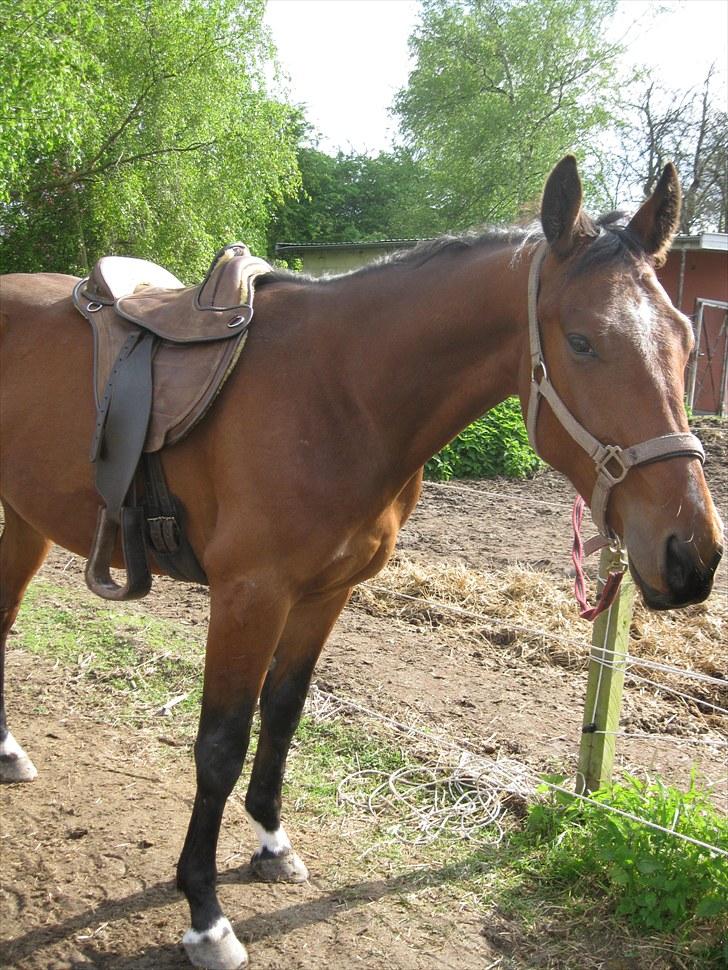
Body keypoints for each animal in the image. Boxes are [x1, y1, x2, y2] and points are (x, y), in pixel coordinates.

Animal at [0, 155, 724, 964]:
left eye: (686, 340)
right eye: (583, 342)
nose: (692, 553)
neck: (338, 393)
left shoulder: (325, 594)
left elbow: (283, 714)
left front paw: (272, 843)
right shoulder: (250, 596)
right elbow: (220, 744)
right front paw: (205, 912)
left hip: (23, 520)